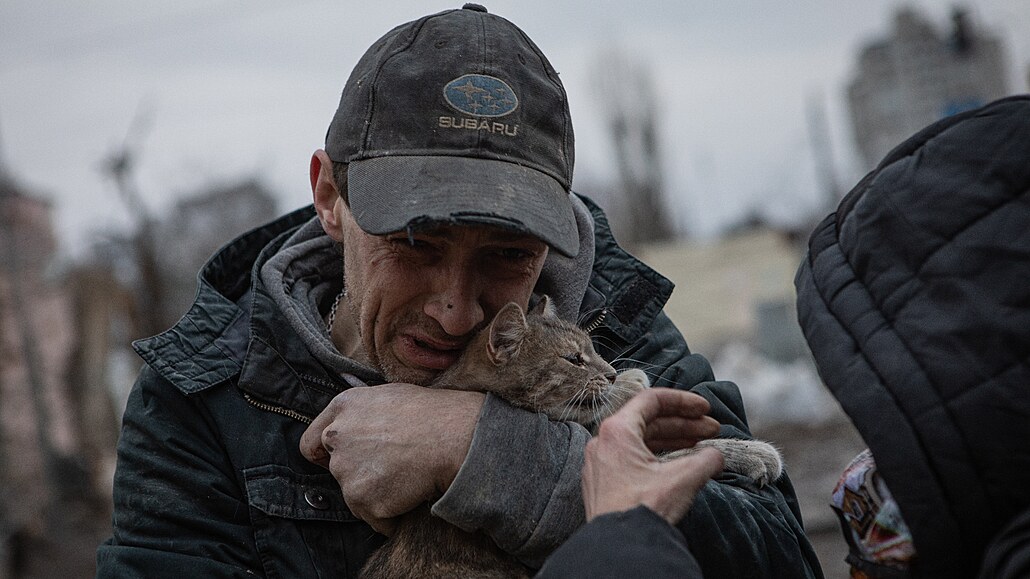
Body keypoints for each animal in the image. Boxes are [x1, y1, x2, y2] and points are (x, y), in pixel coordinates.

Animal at [360, 294, 778, 572]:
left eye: (593, 349)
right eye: (574, 359)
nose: (610, 372)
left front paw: (627, 384)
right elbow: (681, 452)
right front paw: (752, 453)